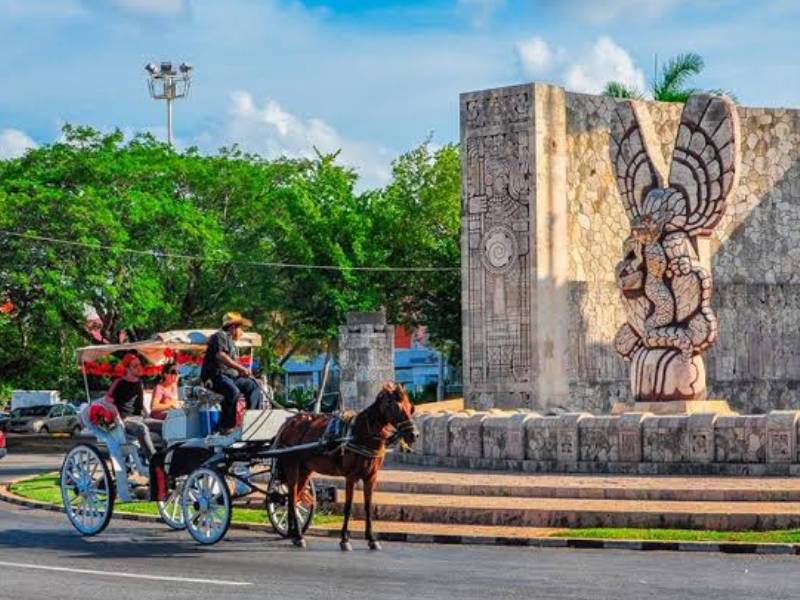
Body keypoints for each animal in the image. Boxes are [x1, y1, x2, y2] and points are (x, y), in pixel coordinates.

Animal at [274, 382, 416, 552]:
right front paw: (344, 539)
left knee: (293, 497)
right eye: (396, 407)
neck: (361, 434)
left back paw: (294, 534)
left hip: (305, 470)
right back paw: (298, 535)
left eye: (411, 408)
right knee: (292, 497)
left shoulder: (371, 477)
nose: (414, 435)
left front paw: (371, 539)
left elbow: (368, 507)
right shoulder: (351, 476)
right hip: (292, 467)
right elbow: (348, 507)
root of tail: (288, 423)